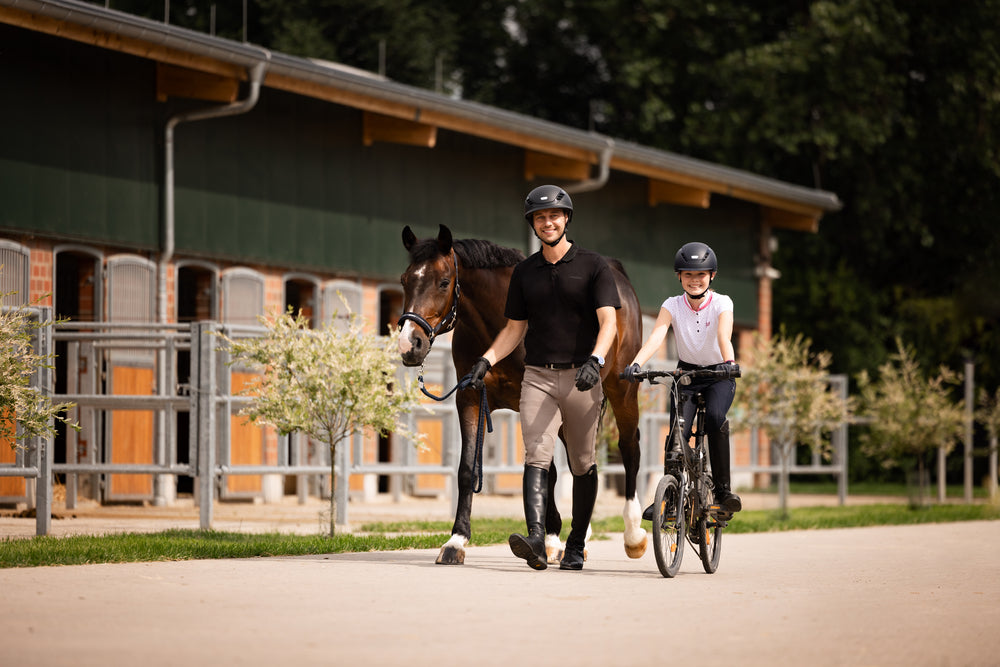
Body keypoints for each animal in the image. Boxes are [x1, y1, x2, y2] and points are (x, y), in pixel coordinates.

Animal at [398, 223, 648, 564]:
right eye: (405, 280)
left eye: (443, 282)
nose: (409, 345)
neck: (499, 325)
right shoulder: (470, 398)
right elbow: (468, 469)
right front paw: (456, 542)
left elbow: (550, 471)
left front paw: (550, 540)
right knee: (582, 459)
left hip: (622, 390)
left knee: (629, 447)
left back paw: (633, 535)